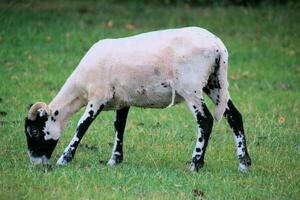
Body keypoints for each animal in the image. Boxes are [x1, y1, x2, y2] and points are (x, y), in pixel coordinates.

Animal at [25, 25, 251, 171]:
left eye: (34, 131)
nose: (36, 163)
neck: (79, 88)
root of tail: (218, 46)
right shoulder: (122, 100)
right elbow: (119, 127)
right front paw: (114, 160)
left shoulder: (98, 96)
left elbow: (82, 126)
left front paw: (64, 159)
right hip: (214, 83)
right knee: (235, 117)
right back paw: (244, 163)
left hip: (191, 87)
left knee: (205, 120)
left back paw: (196, 164)